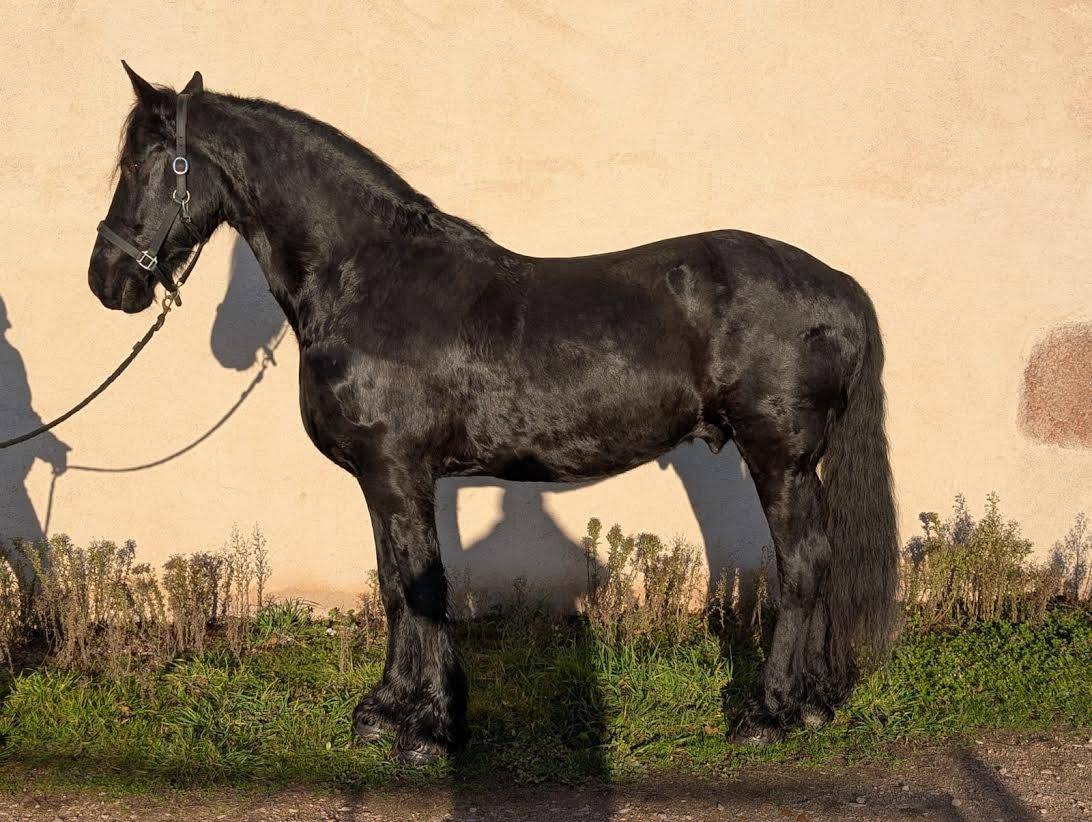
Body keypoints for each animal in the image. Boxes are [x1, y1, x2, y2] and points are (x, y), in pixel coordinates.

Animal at [87, 64, 898, 764]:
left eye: (145, 164)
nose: (108, 280)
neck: (370, 279)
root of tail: (837, 283)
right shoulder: (382, 480)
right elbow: (393, 585)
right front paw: (385, 711)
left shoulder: (398, 471)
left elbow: (422, 586)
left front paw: (431, 728)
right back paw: (813, 704)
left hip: (779, 457)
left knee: (802, 565)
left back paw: (771, 713)